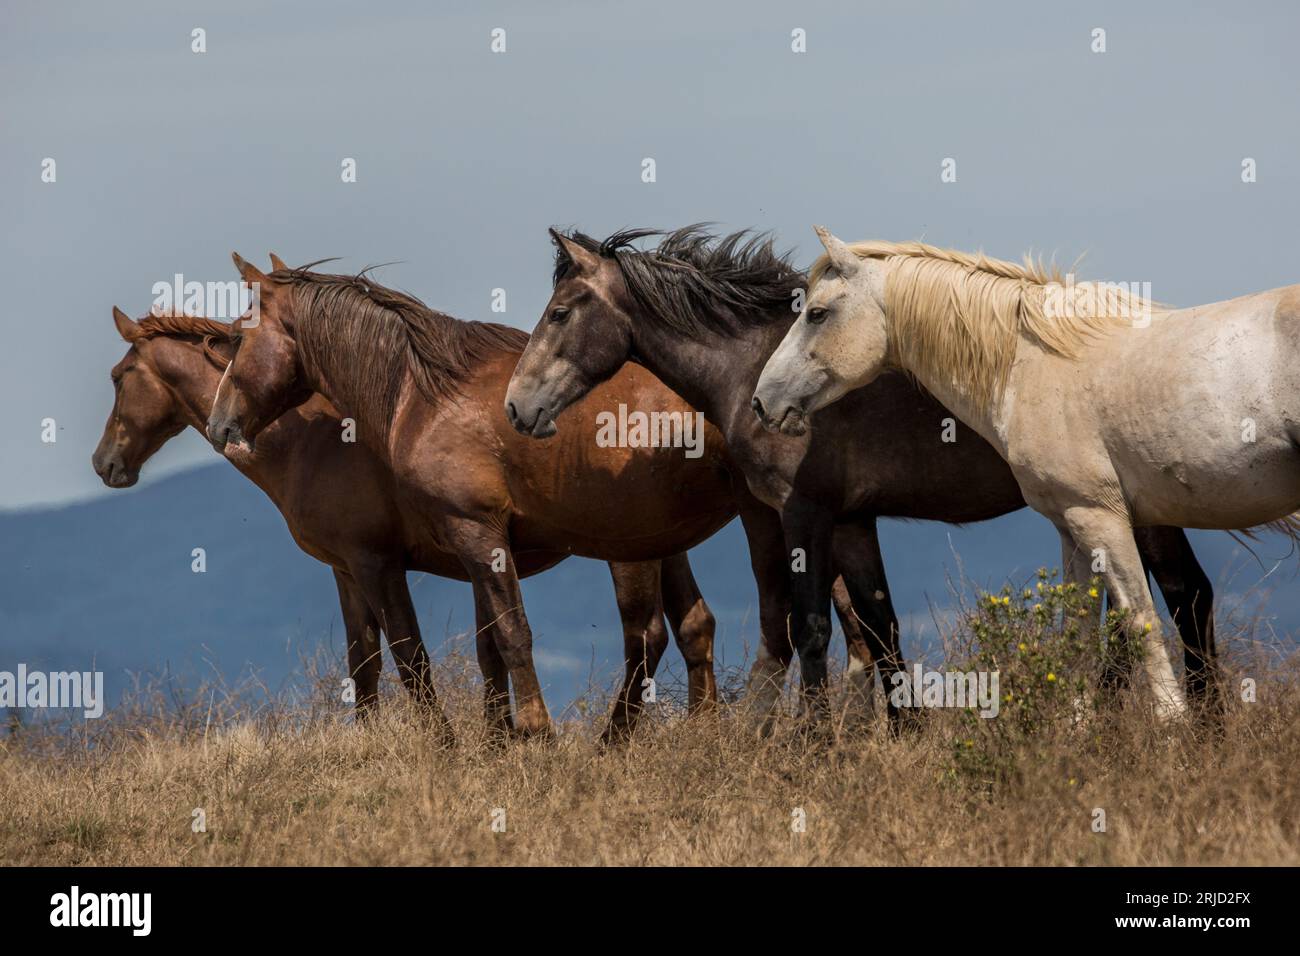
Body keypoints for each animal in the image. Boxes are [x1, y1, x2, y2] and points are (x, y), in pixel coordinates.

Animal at [94, 303, 717, 743]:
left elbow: (410, 654)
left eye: (119, 375)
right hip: (668, 541)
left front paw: (445, 744)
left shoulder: (378, 563)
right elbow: (369, 659)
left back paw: (617, 741)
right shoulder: (348, 571)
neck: (311, 440)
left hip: (629, 549)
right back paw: (704, 730)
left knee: (647, 636)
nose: (105, 464)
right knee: (694, 625)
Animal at [504, 223, 1216, 723]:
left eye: (560, 312)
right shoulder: (850, 521)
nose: (517, 406)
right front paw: (902, 735)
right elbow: (880, 628)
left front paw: (815, 744)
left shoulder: (802, 514)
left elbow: (811, 629)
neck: (751, 363)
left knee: (1185, 597)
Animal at [754, 226, 1300, 717]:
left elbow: (1140, 623)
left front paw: (1171, 732)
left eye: (818, 314)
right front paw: (1077, 736)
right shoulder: (1071, 525)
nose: (763, 402)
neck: (1031, 365)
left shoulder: (1098, 516)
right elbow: (1079, 633)